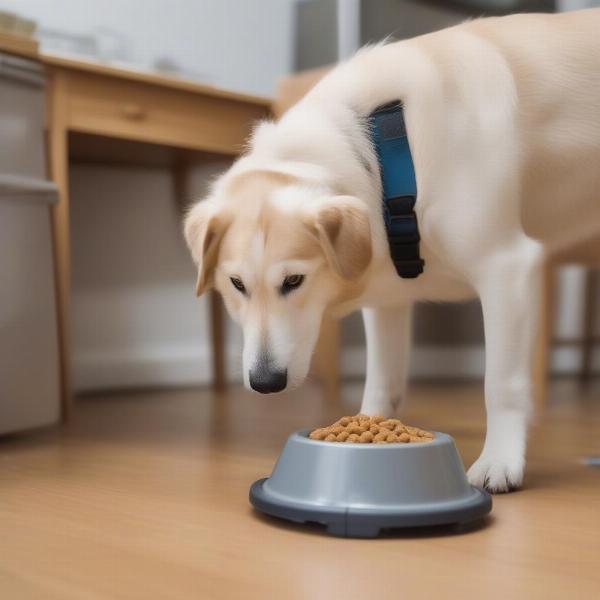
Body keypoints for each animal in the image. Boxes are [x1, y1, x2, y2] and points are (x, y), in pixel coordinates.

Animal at [183, 10, 600, 492]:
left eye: (294, 281)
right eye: (236, 284)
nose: (265, 382)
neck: (384, 152)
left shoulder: (506, 268)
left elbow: (501, 383)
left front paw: (499, 461)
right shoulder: (387, 298)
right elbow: (382, 380)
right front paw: (365, 428)